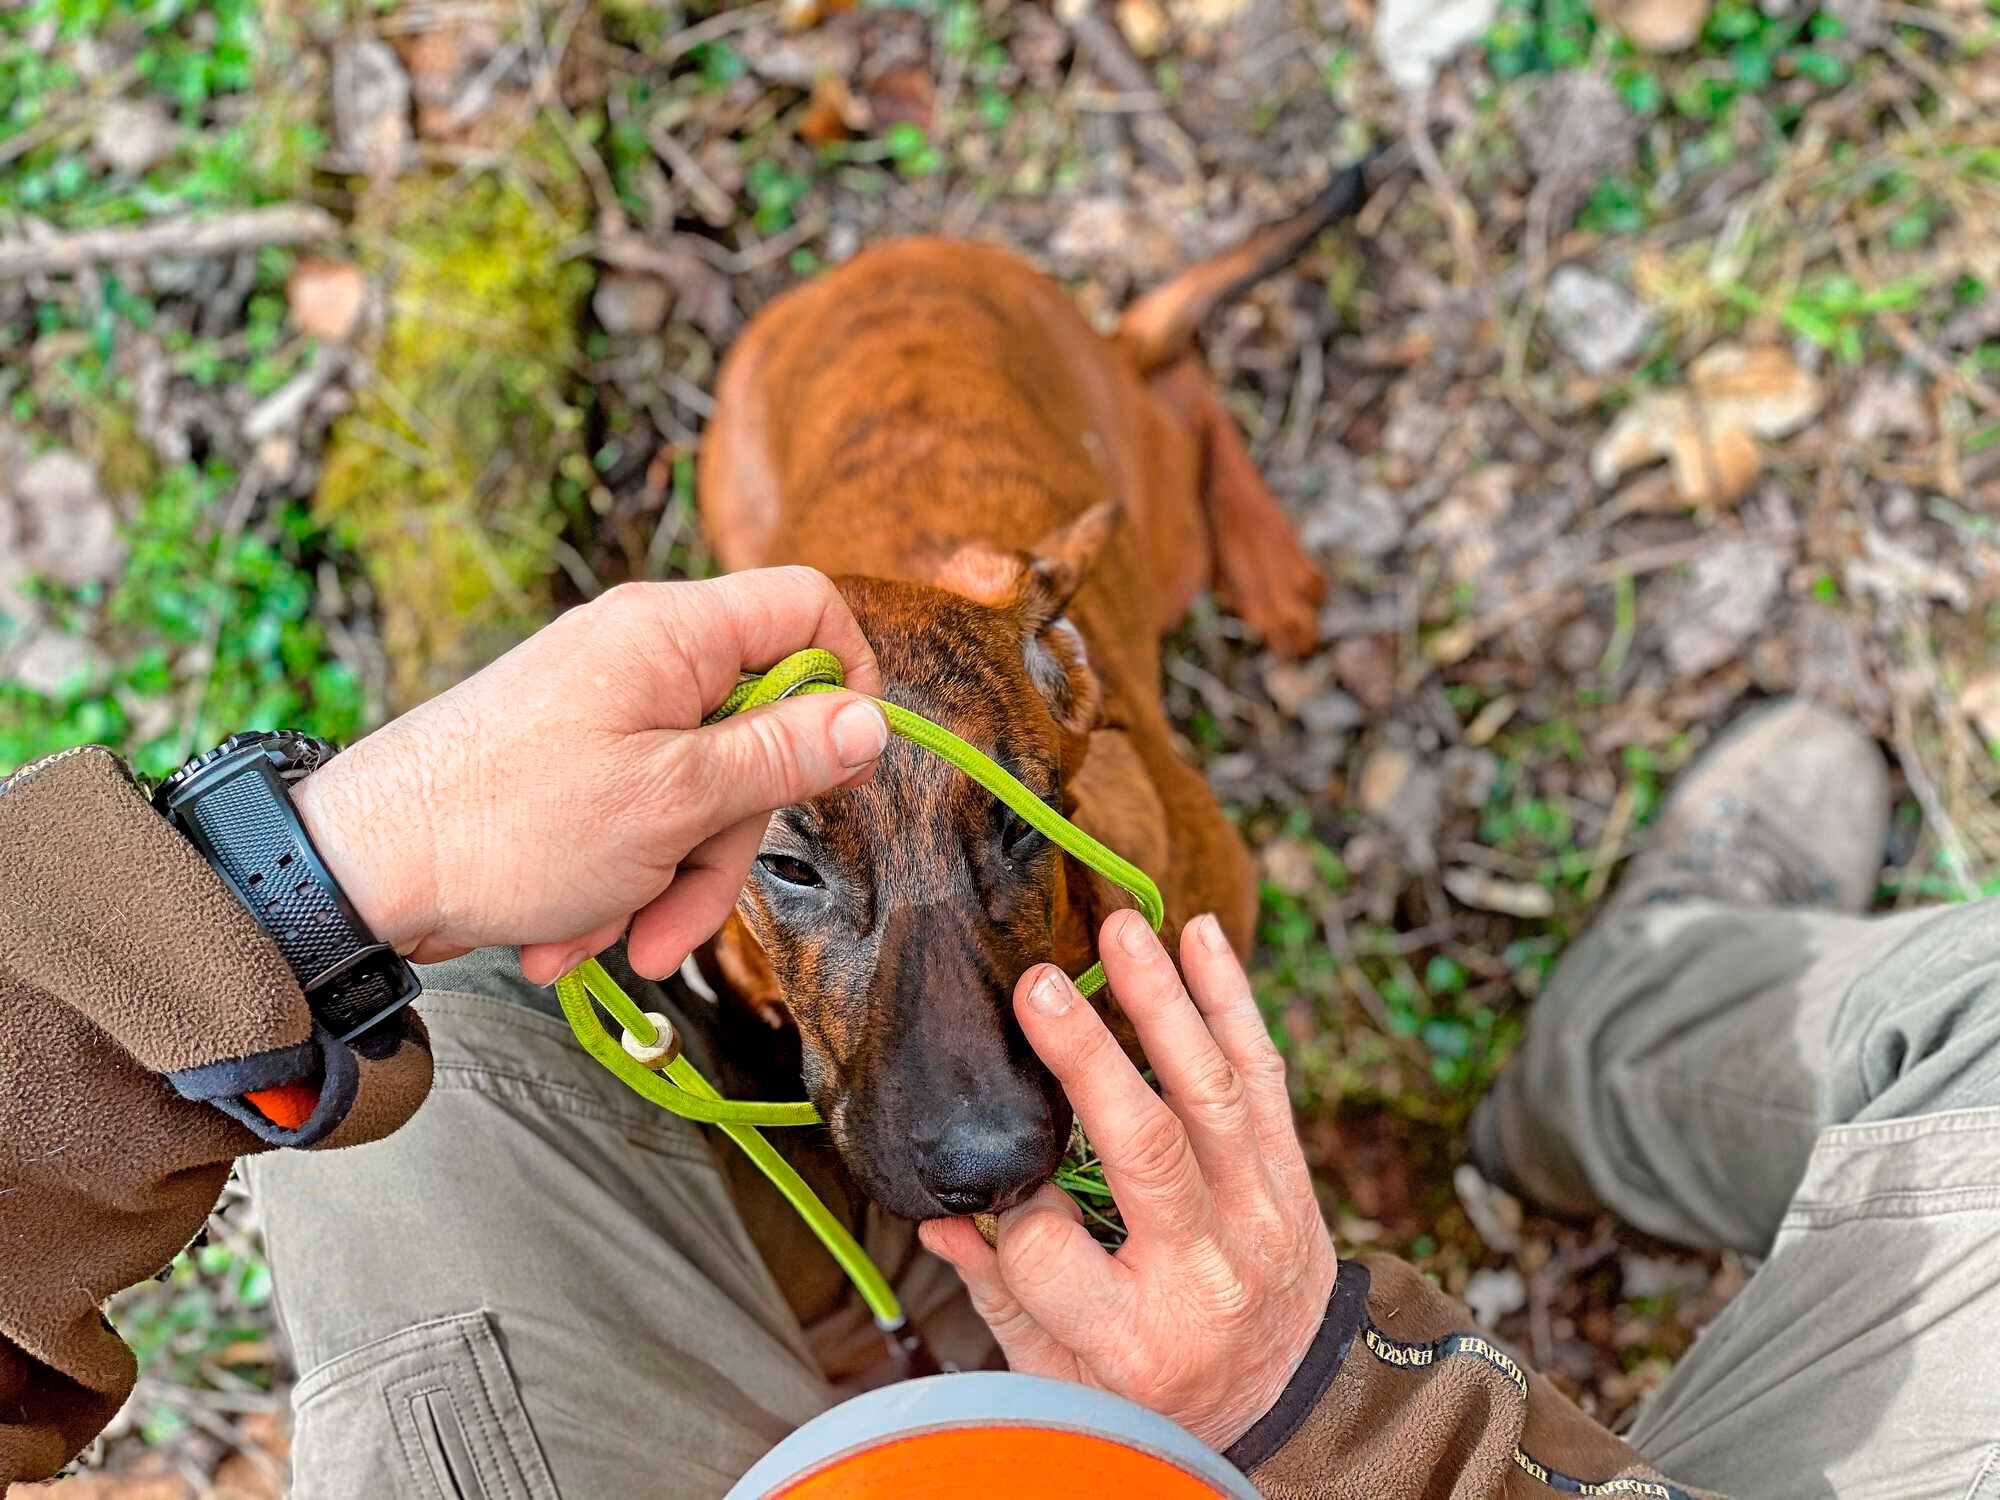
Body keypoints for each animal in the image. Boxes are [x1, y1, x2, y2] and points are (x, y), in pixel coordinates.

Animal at [696, 167, 1368, 1224]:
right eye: (786, 867)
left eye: (1026, 824)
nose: (994, 1168)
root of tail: (879, 262)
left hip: (1160, 523)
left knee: (1184, 395)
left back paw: (1273, 568)